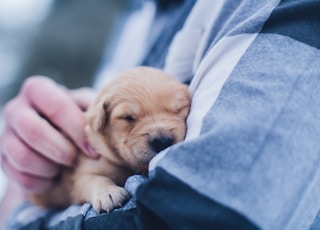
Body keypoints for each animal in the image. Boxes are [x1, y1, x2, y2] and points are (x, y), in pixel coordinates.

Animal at [29, 66, 190, 212]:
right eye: (127, 117)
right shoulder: (85, 171)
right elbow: (94, 179)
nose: (162, 141)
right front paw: (108, 193)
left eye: (178, 110)